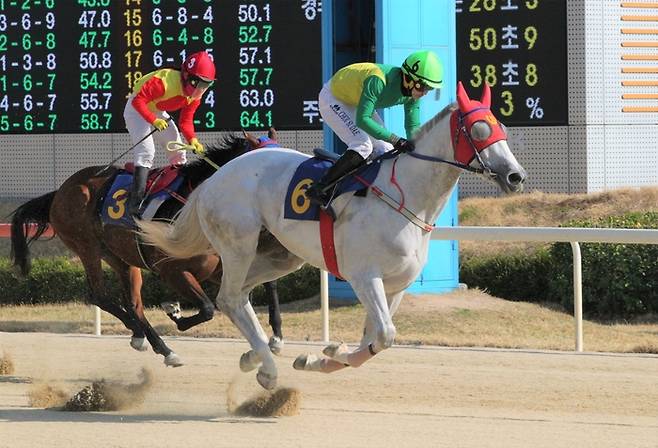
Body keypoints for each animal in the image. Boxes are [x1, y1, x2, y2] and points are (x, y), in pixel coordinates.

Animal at [9, 130, 282, 368]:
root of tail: (59, 191)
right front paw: (174, 313)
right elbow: (206, 308)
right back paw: (145, 336)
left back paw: (153, 343)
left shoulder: (220, 265)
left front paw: (276, 338)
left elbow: (268, 286)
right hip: (86, 246)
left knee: (133, 304)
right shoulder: (172, 271)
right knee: (100, 295)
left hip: (120, 257)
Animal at [137, 83, 524, 388]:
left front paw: (324, 356)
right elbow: (386, 334)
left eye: (503, 127)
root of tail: (214, 178)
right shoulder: (364, 276)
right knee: (230, 297)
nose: (516, 176)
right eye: (478, 130)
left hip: (280, 256)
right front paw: (326, 354)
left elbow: (375, 340)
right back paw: (269, 370)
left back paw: (254, 356)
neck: (405, 196)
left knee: (239, 296)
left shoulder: (396, 286)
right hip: (238, 244)